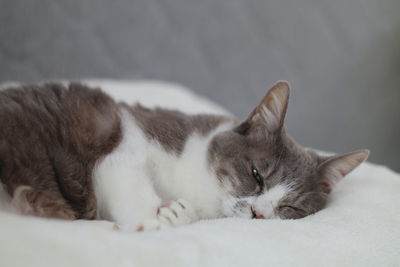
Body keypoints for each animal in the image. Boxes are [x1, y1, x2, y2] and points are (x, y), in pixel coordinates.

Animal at [0, 80, 368, 231]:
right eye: (257, 175)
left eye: (291, 208)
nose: (259, 215)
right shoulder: (127, 141)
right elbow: (124, 174)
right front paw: (150, 220)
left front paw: (177, 212)